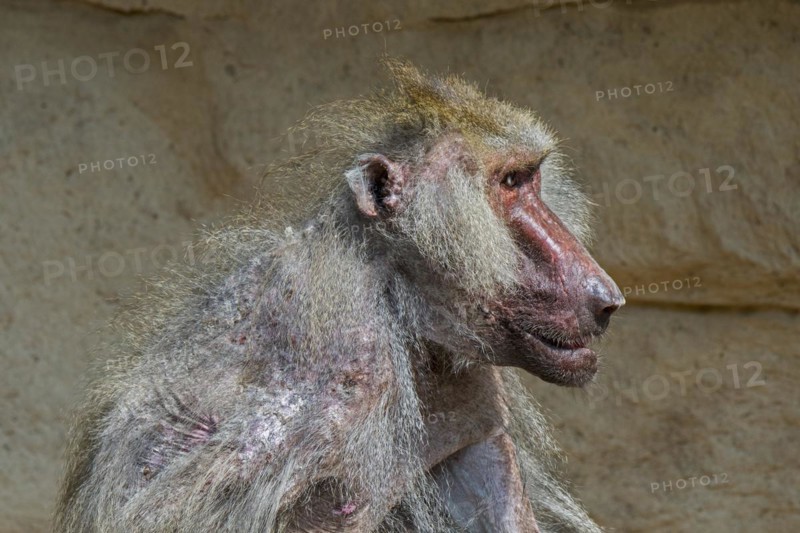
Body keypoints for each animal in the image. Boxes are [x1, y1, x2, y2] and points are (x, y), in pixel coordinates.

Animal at [55, 58, 624, 533]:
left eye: (532, 178)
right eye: (509, 182)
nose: (608, 299)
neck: (396, 292)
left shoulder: (473, 394)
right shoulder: (345, 371)